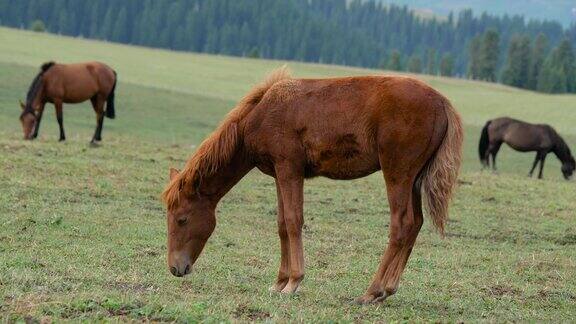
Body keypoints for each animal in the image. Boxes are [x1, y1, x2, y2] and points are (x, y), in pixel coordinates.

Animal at [161, 67, 464, 304]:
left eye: (182, 219)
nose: (176, 268)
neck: (261, 114)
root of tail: (443, 103)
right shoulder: (279, 174)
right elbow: (282, 224)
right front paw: (279, 282)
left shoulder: (289, 169)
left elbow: (294, 221)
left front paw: (293, 282)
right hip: (413, 179)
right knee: (416, 223)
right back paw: (388, 290)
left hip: (398, 174)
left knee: (402, 224)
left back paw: (372, 291)